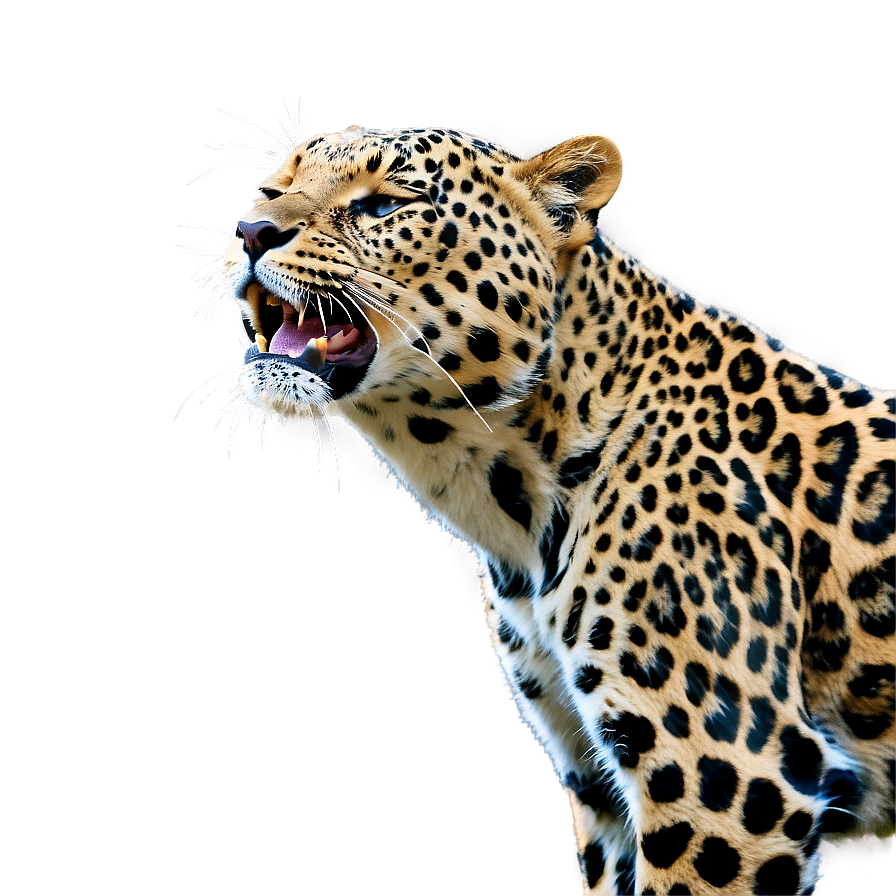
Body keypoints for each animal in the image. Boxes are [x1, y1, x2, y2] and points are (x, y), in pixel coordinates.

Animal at [183, 118, 895, 895]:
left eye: (383, 205)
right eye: (273, 189)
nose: (251, 230)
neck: (508, 500)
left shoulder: (729, 777)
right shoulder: (596, 774)